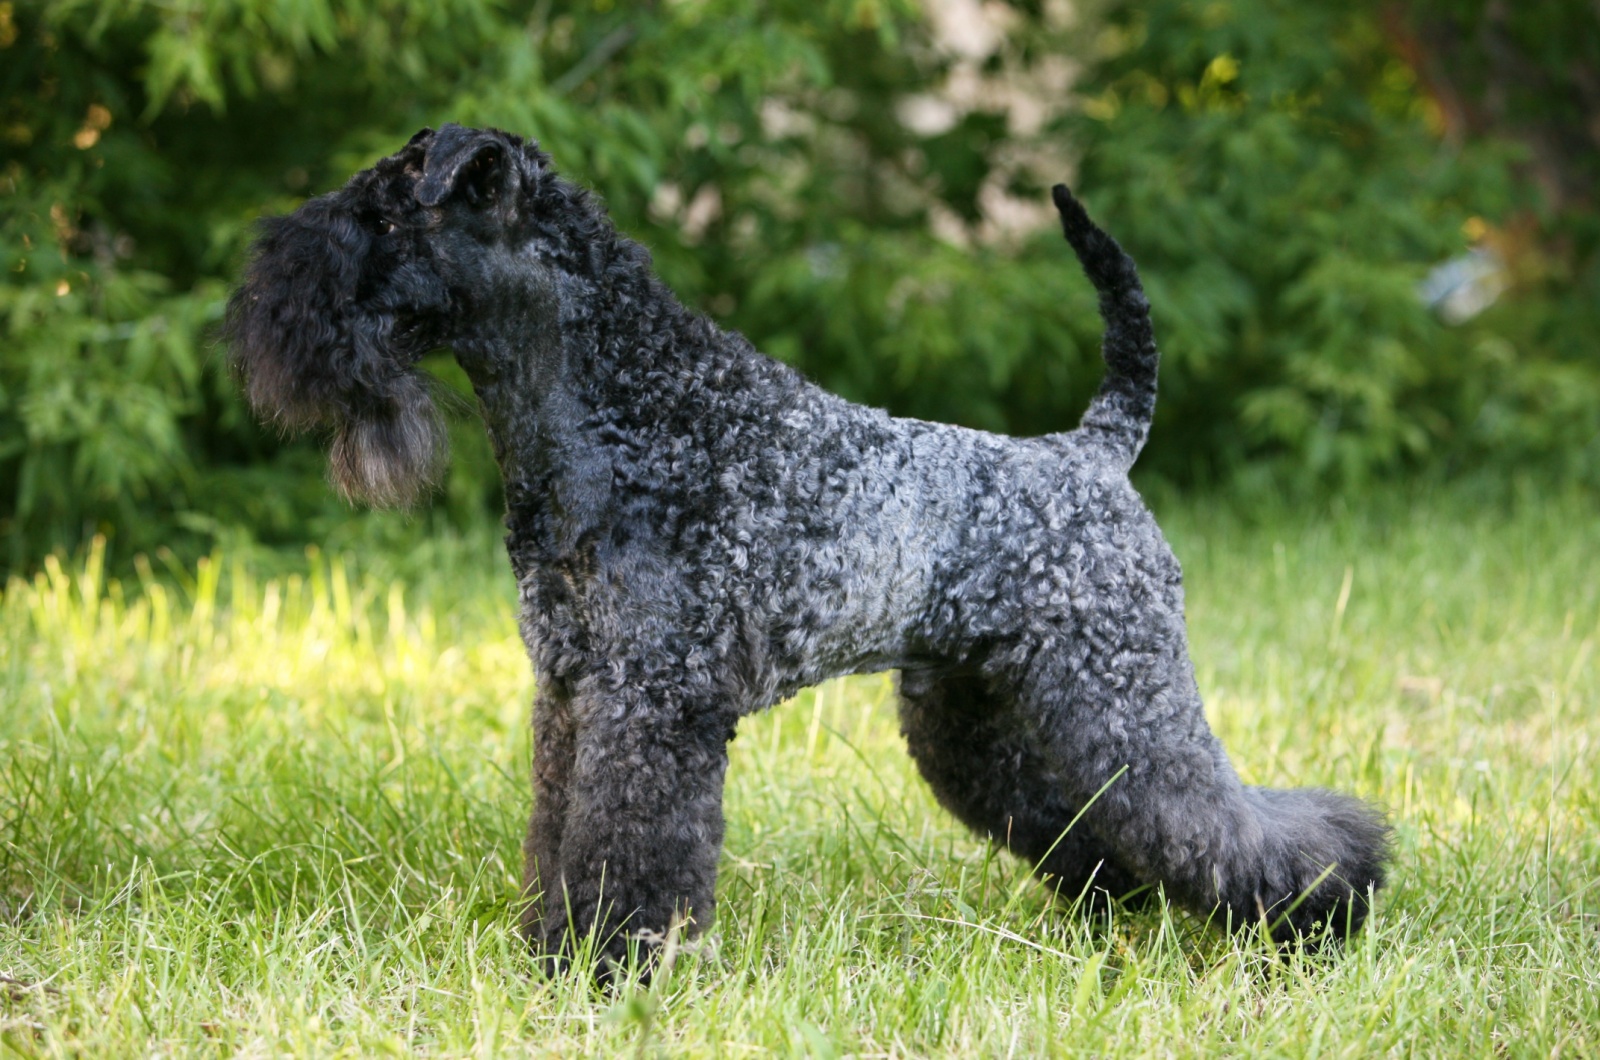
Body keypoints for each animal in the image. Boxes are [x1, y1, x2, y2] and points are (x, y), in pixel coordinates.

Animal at [225, 122, 1388, 979]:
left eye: (383, 213)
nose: (258, 316)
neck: (632, 409)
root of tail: (1095, 449)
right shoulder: (572, 688)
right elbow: (559, 830)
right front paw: (550, 954)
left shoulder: (653, 699)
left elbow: (628, 842)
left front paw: (614, 967)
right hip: (981, 713)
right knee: (1090, 816)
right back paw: (1129, 912)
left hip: (1121, 693)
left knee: (1232, 820)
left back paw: (1322, 913)